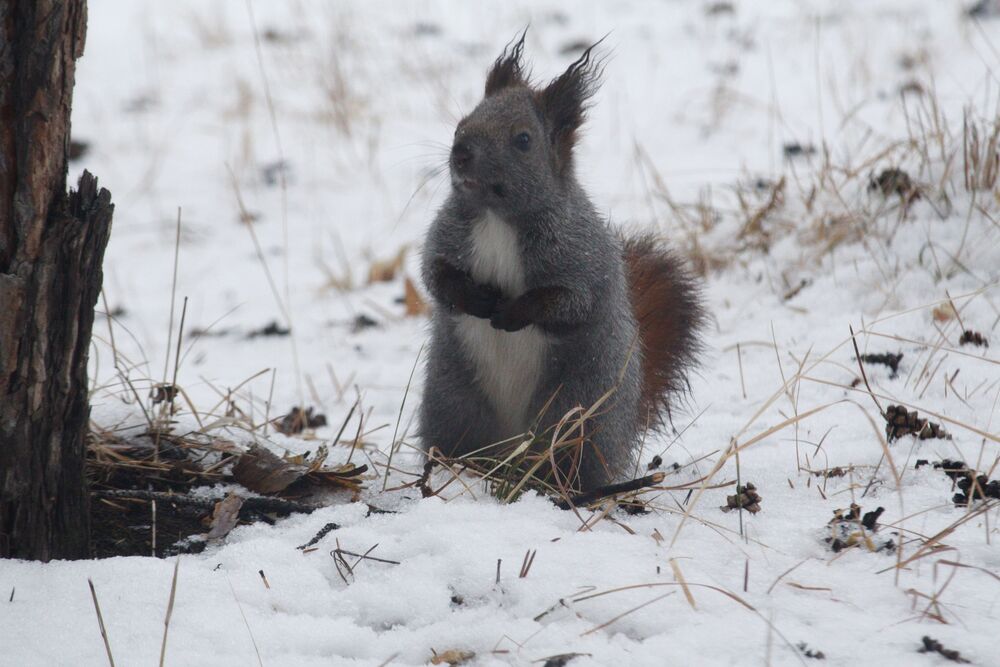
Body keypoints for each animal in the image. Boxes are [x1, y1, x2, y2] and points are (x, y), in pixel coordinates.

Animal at [418, 34, 705, 492]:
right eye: (463, 122)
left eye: (523, 139)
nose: (460, 152)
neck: (497, 220)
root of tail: (511, 450)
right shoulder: (446, 238)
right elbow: (435, 275)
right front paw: (475, 298)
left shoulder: (580, 257)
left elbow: (569, 302)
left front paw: (512, 311)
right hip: (453, 403)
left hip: (575, 410)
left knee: (570, 459)